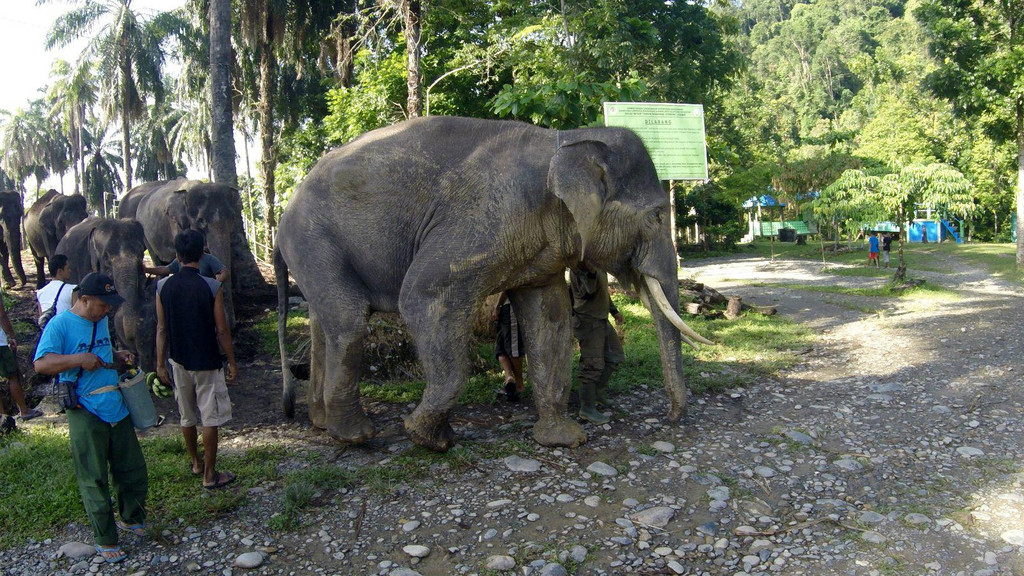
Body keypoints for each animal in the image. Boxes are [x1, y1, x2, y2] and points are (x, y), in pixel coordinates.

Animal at [117, 175, 239, 327]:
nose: (232, 325)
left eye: (232, 218)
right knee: (159, 262)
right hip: (145, 234)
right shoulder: (176, 224)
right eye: (200, 220)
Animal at [276, 114, 716, 450]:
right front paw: (430, 438)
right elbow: (423, 294)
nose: (672, 418)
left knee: (325, 323)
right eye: (657, 216)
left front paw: (563, 439)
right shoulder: (485, 217)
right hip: (313, 238)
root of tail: (285, 211)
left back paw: (322, 424)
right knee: (350, 320)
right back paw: (356, 436)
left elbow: (549, 318)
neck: (565, 139)